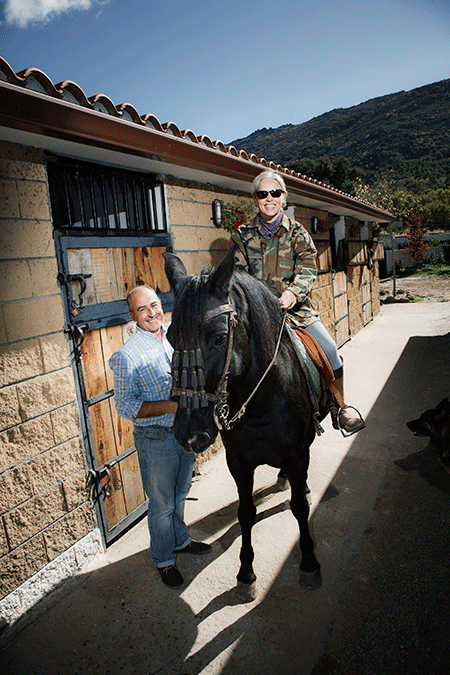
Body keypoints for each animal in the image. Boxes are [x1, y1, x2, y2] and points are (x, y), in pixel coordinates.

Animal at [163, 248, 326, 604]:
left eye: (220, 337)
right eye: (169, 337)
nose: (189, 434)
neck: (261, 402)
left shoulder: (297, 456)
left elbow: (299, 507)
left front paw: (309, 563)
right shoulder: (238, 463)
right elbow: (246, 513)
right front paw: (246, 574)